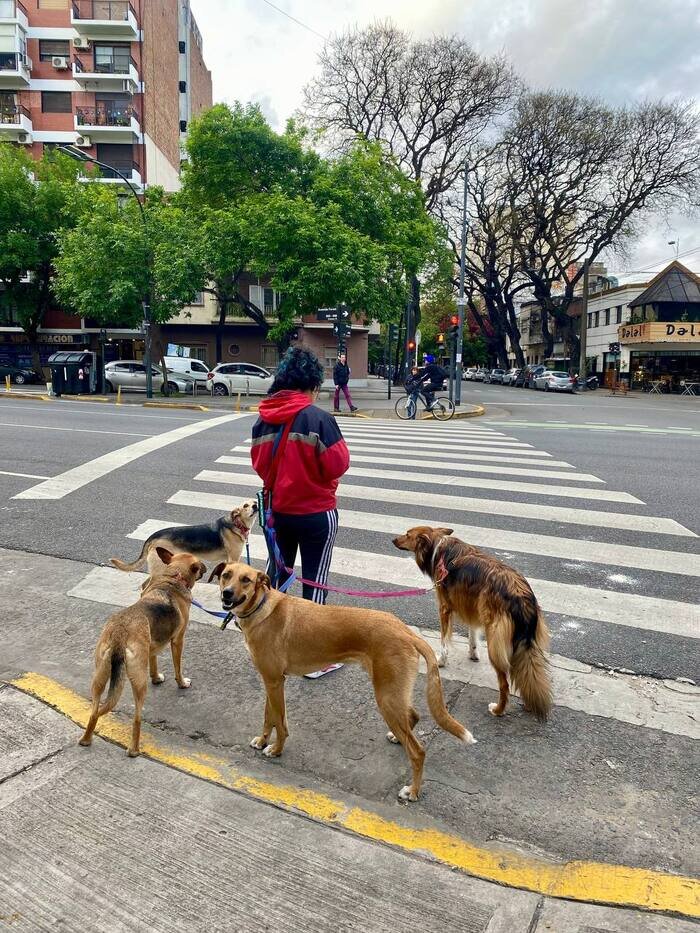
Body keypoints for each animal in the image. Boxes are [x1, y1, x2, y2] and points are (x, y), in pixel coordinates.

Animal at [80, 548, 205, 756]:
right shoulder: (178, 641)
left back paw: (86, 740)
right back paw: (134, 750)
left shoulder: (152, 646)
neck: (174, 577)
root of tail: (120, 633)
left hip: (99, 676)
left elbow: (154, 662)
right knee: (137, 718)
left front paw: (156, 677)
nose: (206, 570)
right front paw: (182, 683)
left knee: (94, 711)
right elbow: (178, 668)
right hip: (138, 681)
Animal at [110, 498, 258, 572]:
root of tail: (153, 536)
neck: (237, 523)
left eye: (255, 502)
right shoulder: (233, 558)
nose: (256, 506)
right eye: (245, 505)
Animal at [205, 560, 474, 800]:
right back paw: (397, 737)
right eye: (226, 575)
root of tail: (406, 631)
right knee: (413, 717)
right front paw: (262, 741)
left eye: (246, 580)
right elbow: (268, 717)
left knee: (417, 751)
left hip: (386, 697)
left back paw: (413, 791)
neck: (261, 608)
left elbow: (280, 724)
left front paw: (276, 750)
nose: (227, 593)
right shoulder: (270, 681)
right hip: (393, 693)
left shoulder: (275, 682)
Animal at [394, 524, 552, 720]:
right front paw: (473, 653)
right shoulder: (471, 607)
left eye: (407, 534)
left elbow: (444, 640)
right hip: (526, 645)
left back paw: (498, 710)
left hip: (495, 643)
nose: (393, 540)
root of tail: (521, 597)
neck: (438, 547)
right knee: (526, 674)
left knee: (504, 684)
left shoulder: (444, 608)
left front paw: (441, 661)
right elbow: (472, 634)